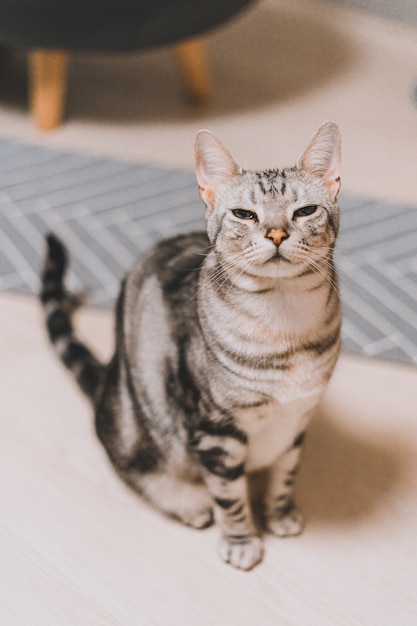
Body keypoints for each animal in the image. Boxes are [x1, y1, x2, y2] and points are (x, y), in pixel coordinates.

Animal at [39, 119, 342, 568]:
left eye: (305, 211)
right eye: (244, 214)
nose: (276, 233)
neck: (284, 323)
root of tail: (108, 378)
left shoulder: (299, 418)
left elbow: (286, 474)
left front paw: (280, 513)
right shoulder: (215, 431)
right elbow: (230, 495)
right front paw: (240, 539)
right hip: (132, 428)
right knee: (134, 467)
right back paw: (189, 502)